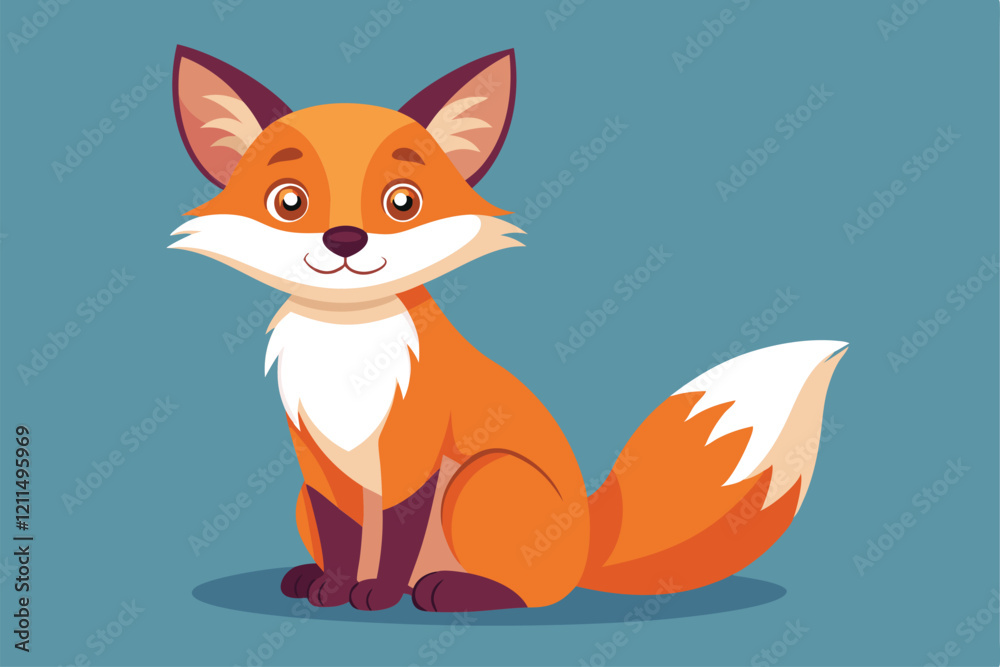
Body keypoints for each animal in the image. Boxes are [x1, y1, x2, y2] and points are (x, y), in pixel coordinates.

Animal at [170, 45, 847, 612]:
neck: (349, 351)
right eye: (289, 201)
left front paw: (376, 595)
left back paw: (448, 591)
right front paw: (334, 589)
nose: (345, 240)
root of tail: (587, 545)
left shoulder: (413, 452)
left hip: (482, 479)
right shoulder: (318, 463)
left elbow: (397, 536)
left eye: (402, 202)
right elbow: (344, 535)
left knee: (530, 595)